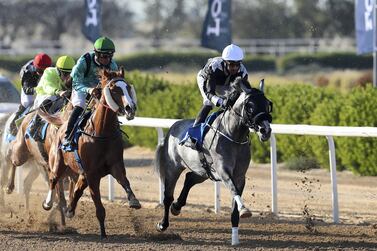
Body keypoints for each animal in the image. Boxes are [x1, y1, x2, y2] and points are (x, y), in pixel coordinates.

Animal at [42, 67, 140, 239]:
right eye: (113, 89)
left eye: (127, 87)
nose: (130, 108)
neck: (102, 133)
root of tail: (62, 124)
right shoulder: (92, 174)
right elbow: (99, 206)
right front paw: (103, 233)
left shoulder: (115, 165)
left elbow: (125, 181)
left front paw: (133, 200)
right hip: (58, 163)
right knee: (53, 179)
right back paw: (48, 203)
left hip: (82, 173)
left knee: (78, 188)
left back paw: (69, 210)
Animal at [154, 78, 272, 245]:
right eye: (250, 106)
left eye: (267, 104)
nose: (266, 130)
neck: (233, 136)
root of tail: (173, 127)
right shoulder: (223, 171)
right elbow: (233, 189)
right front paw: (245, 210)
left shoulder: (240, 176)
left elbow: (235, 206)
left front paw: (235, 239)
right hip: (173, 168)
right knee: (167, 197)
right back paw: (163, 224)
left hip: (203, 171)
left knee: (189, 178)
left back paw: (177, 206)